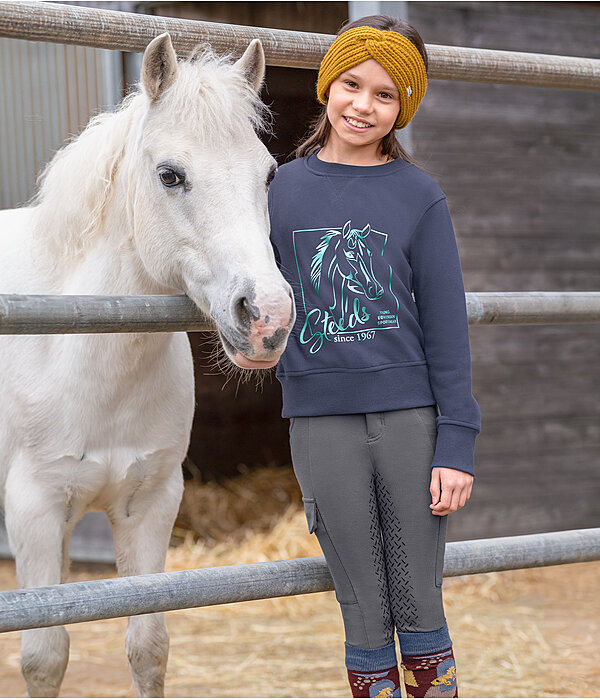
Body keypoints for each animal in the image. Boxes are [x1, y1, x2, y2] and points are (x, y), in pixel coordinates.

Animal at [0, 31, 294, 696]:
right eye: (171, 175)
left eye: (268, 174)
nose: (267, 316)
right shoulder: (33, 508)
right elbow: (43, 655)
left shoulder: (151, 502)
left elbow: (148, 646)